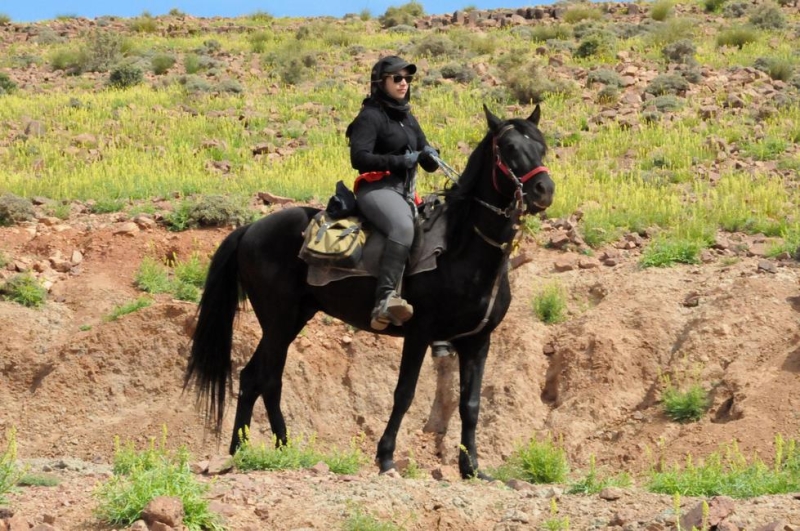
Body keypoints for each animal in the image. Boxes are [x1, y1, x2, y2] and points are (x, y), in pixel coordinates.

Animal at [184, 103, 552, 478]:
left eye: (541, 146)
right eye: (508, 148)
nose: (544, 189)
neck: (460, 249)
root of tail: (250, 229)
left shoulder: (477, 342)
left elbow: (471, 404)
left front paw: (472, 468)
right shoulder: (419, 333)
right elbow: (404, 394)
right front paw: (386, 457)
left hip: (292, 319)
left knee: (251, 378)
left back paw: (241, 449)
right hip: (279, 320)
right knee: (269, 379)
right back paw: (281, 448)